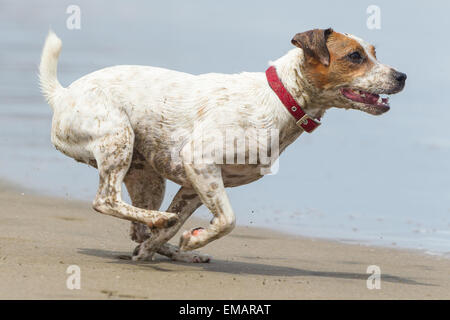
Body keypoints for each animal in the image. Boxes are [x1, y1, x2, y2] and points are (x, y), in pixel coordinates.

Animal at [37, 28, 404, 262]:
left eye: (374, 53)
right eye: (355, 56)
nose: (402, 76)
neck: (280, 98)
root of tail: (62, 96)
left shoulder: (195, 184)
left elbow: (176, 226)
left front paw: (172, 243)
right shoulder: (199, 162)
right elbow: (227, 220)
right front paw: (192, 238)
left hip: (146, 176)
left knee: (138, 226)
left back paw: (162, 240)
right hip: (118, 141)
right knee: (106, 200)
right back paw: (160, 225)